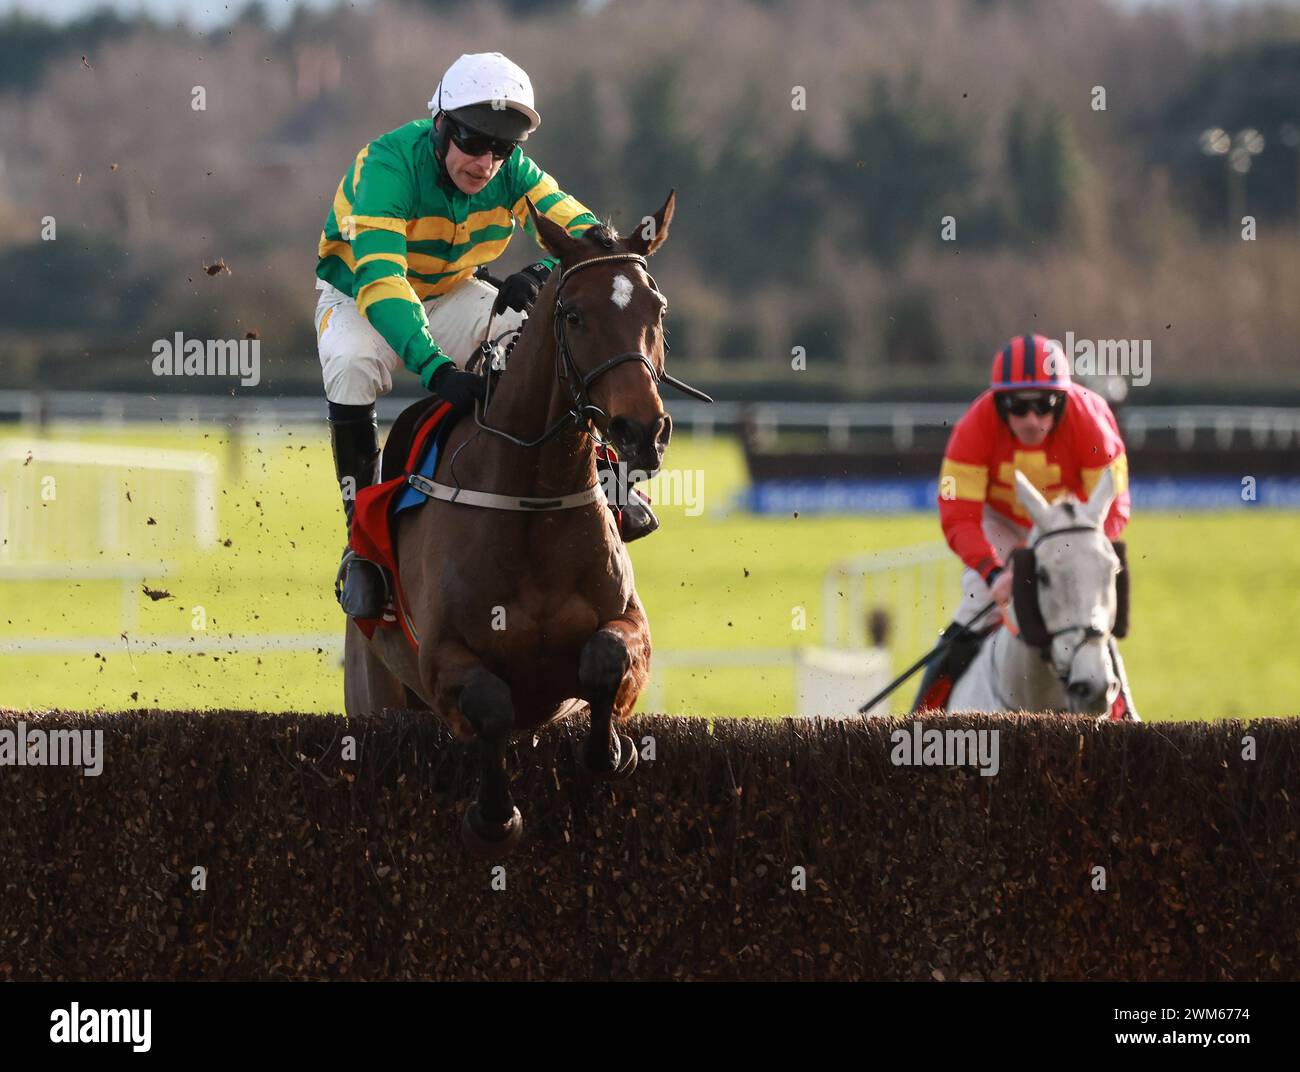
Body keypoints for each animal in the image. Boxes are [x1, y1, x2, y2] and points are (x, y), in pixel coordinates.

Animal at [345, 192, 707, 857]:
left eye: (658, 308)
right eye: (574, 315)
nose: (642, 429)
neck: (532, 496)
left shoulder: (630, 625)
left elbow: (605, 658)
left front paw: (611, 752)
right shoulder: (441, 657)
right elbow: (490, 704)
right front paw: (494, 816)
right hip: (376, 694)